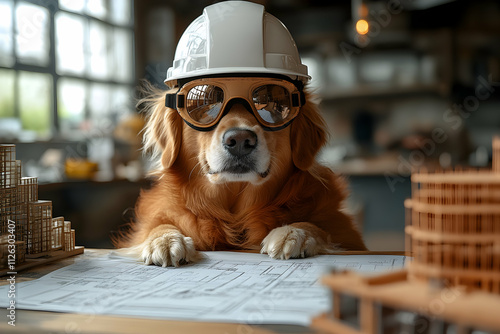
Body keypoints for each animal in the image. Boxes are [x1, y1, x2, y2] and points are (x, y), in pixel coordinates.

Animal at [114, 81, 368, 266]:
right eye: (207, 105)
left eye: (271, 106)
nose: (239, 140)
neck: (234, 212)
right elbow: (158, 225)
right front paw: (163, 240)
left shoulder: (344, 231)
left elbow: (318, 227)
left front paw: (292, 232)